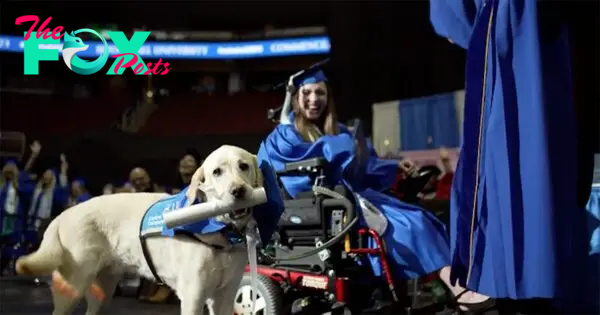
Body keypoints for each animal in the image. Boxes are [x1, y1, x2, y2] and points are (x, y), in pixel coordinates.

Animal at [14, 146, 262, 315]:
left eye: (244, 166)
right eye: (217, 172)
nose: (238, 191)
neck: (221, 233)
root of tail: (62, 215)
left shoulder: (225, 297)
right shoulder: (193, 296)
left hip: (102, 291)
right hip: (72, 287)